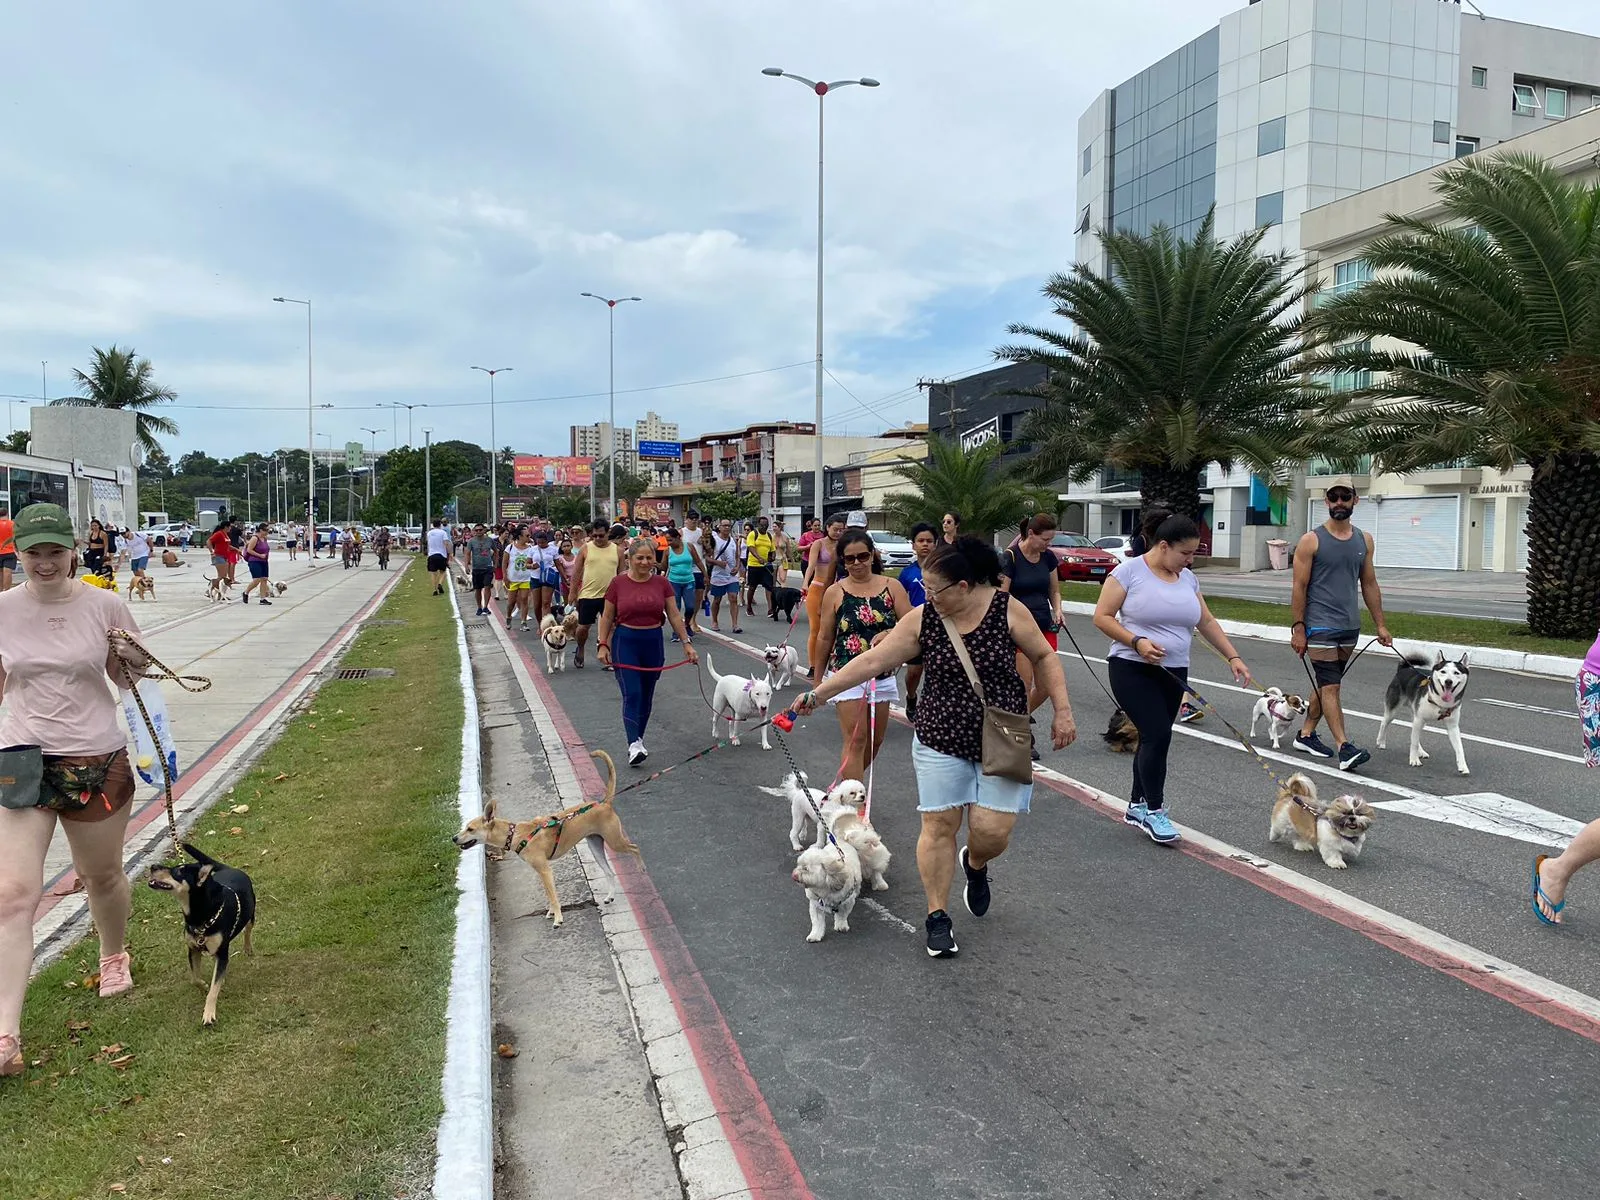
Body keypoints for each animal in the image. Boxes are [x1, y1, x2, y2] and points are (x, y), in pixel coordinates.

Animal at [148, 838, 256, 1030]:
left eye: (178, 871)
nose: (153, 866)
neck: (199, 916)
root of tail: (228, 868)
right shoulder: (193, 950)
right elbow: (195, 978)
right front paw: (204, 985)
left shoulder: (222, 953)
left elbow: (213, 990)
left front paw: (209, 1014)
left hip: (251, 915)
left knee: (248, 931)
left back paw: (248, 948)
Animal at [451, 752, 636, 928]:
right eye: (465, 827)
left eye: (470, 829)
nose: (453, 838)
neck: (515, 834)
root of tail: (604, 803)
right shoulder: (541, 871)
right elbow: (549, 894)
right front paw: (552, 912)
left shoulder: (545, 870)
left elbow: (553, 896)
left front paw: (558, 919)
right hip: (595, 846)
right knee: (610, 871)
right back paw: (610, 896)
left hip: (615, 841)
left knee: (635, 848)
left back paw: (639, 868)